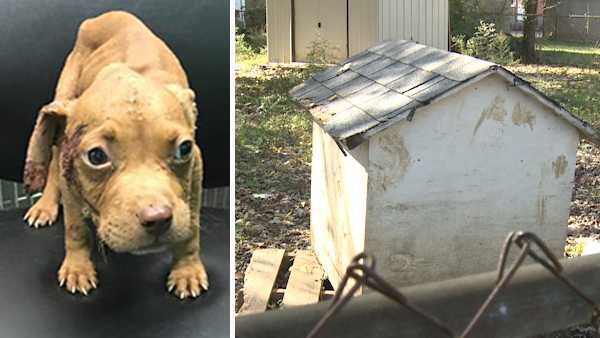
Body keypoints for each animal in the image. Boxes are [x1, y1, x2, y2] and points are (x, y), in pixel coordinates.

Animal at [22, 9, 209, 298]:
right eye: (96, 157)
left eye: (184, 148)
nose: (158, 219)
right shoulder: (70, 170)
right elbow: (75, 227)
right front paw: (77, 268)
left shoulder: (196, 168)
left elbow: (191, 229)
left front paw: (186, 271)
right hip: (63, 94)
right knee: (52, 160)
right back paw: (44, 206)